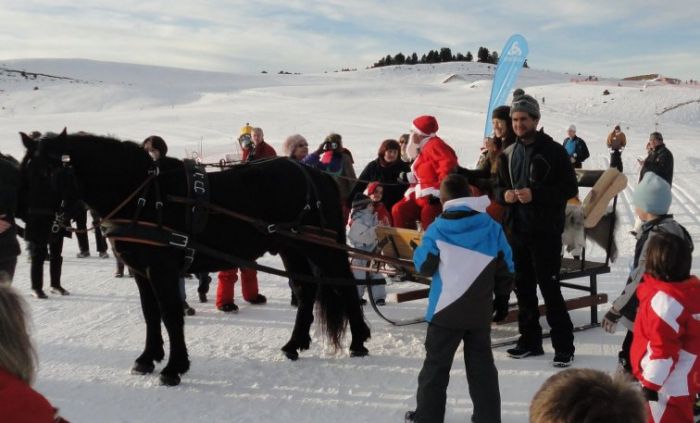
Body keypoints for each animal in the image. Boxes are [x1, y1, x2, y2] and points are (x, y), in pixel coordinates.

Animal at [19, 131, 370, 386]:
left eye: (49, 173)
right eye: (24, 173)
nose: (33, 233)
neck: (143, 195)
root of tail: (316, 175)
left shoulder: (161, 269)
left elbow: (171, 314)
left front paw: (174, 367)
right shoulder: (141, 271)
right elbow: (150, 314)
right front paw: (147, 358)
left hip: (321, 248)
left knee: (345, 285)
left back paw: (358, 341)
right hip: (291, 248)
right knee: (306, 289)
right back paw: (294, 344)